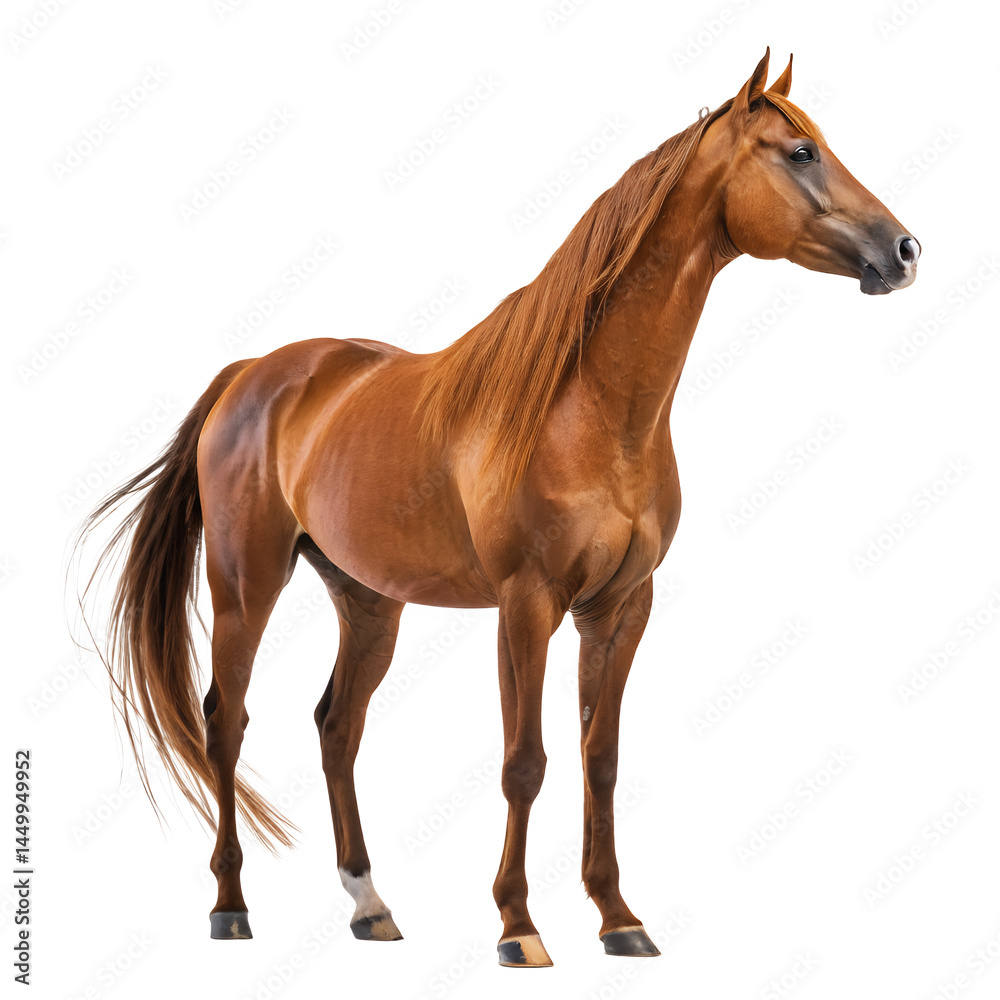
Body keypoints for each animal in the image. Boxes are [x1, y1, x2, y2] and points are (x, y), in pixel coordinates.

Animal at [76, 48, 920, 967]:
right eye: (800, 153)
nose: (904, 249)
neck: (588, 409)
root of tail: (251, 374)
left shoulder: (620, 608)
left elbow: (600, 759)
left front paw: (619, 918)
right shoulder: (526, 605)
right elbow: (526, 761)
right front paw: (519, 926)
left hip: (368, 601)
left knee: (337, 726)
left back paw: (370, 907)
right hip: (246, 584)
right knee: (225, 722)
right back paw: (230, 906)